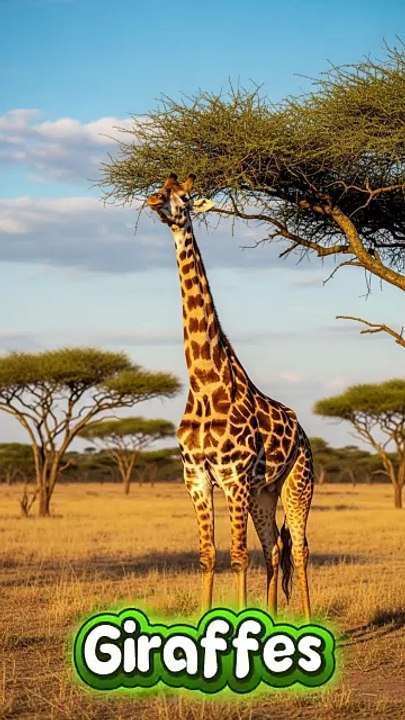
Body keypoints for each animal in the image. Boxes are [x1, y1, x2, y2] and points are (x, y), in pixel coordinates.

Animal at [146, 173, 314, 620]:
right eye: (161, 187)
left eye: (185, 197)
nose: (154, 201)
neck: (205, 384)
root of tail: (304, 433)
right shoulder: (196, 476)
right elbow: (209, 555)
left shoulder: (234, 478)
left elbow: (238, 556)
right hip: (264, 493)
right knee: (274, 548)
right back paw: (273, 618)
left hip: (298, 482)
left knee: (300, 548)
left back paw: (311, 619)